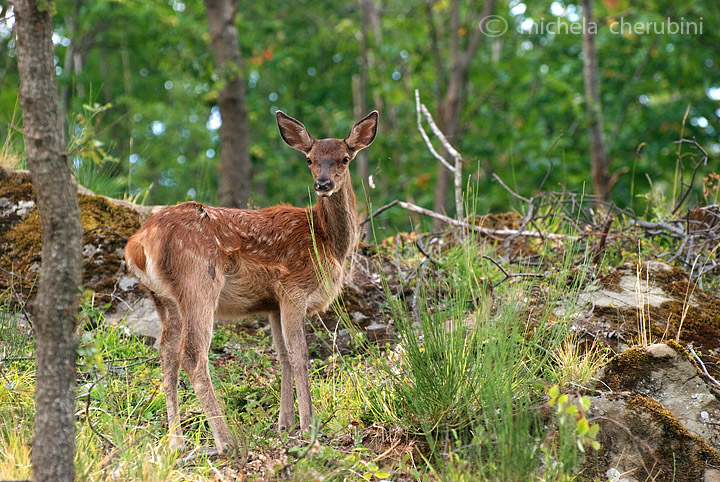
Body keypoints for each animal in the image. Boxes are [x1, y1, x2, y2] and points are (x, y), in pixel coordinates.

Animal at [124, 111, 380, 454]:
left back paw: (176, 440)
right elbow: (300, 355)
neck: (327, 240)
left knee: (166, 352)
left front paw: (285, 424)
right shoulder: (293, 287)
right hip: (198, 281)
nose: (323, 184)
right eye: (309, 159)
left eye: (344, 158)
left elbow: (282, 356)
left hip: (163, 298)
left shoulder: (272, 303)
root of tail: (137, 244)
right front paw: (309, 427)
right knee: (192, 355)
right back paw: (225, 440)